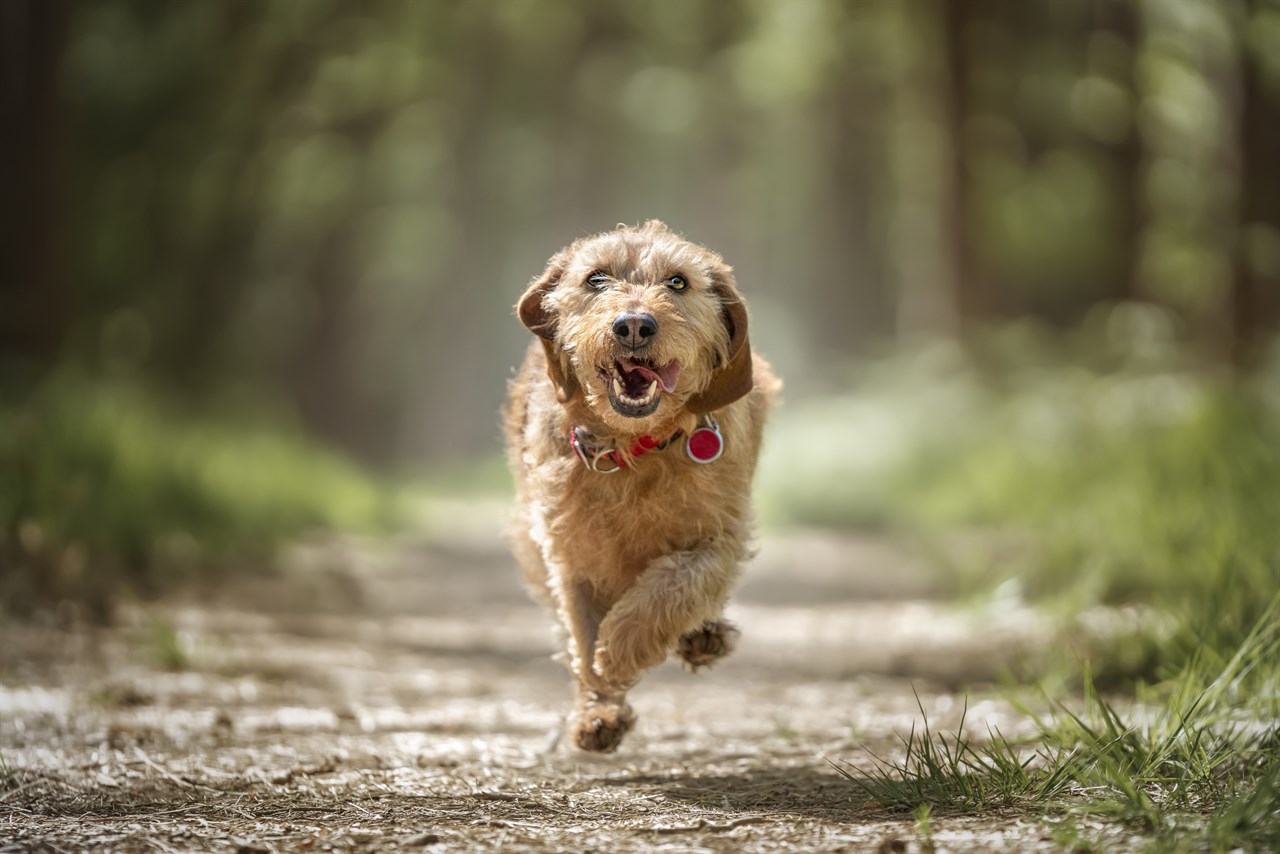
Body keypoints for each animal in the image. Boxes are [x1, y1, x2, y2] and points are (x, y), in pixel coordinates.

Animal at [504, 217, 773, 752]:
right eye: (595, 279)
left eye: (678, 282)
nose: (633, 324)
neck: (635, 448)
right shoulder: (570, 555)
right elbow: (582, 635)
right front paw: (599, 707)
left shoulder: (721, 534)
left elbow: (678, 584)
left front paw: (623, 647)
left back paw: (703, 636)